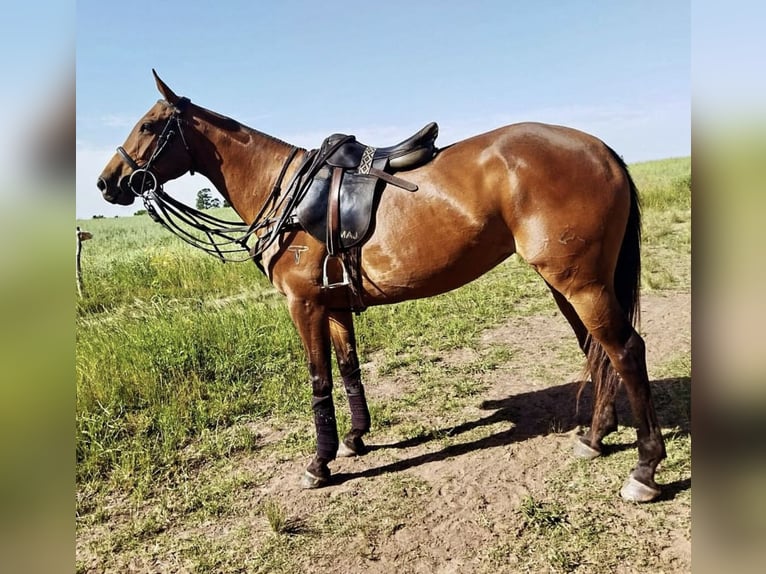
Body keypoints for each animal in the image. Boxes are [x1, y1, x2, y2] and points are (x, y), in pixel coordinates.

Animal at [97, 70, 666, 502]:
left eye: (150, 125)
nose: (106, 182)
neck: (288, 194)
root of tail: (603, 150)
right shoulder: (333, 304)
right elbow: (349, 370)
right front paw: (355, 438)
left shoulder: (303, 305)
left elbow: (319, 380)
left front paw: (320, 462)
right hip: (566, 282)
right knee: (598, 351)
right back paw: (595, 436)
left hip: (580, 282)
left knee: (625, 350)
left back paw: (645, 468)